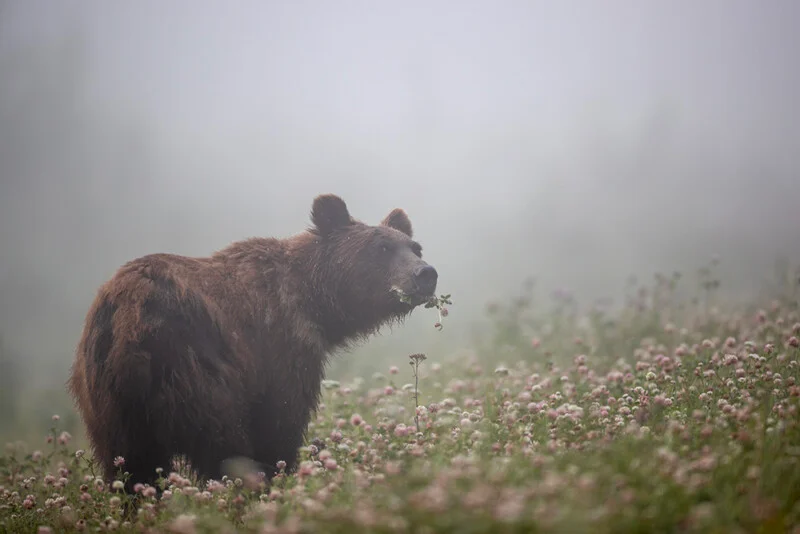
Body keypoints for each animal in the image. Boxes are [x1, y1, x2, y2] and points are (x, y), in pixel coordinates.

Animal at [66, 195, 438, 492]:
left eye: (415, 247)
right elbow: (279, 423)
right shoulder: (280, 344)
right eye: (382, 248)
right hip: (189, 364)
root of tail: (127, 316)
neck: (314, 300)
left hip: (105, 398)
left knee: (129, 466)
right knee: (222, 444)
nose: (426, 274)